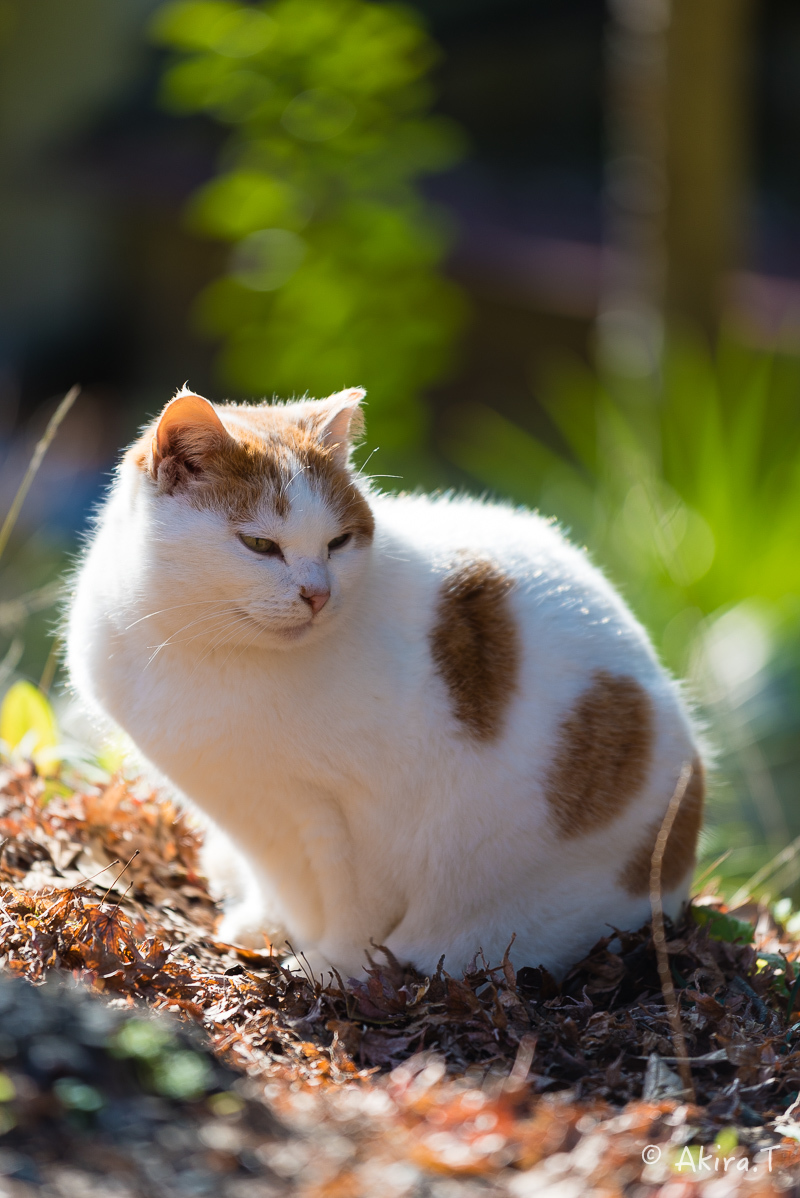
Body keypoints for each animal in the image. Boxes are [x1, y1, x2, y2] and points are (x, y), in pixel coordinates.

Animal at [70, 388, 704, 977]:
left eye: (339, 542)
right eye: (259, 545)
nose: (318, 593)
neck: (207, 653)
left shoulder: (361, 818)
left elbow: (356, 908)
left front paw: (333, 966)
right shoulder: (248, 804)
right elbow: (277, 878)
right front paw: (267, 927)